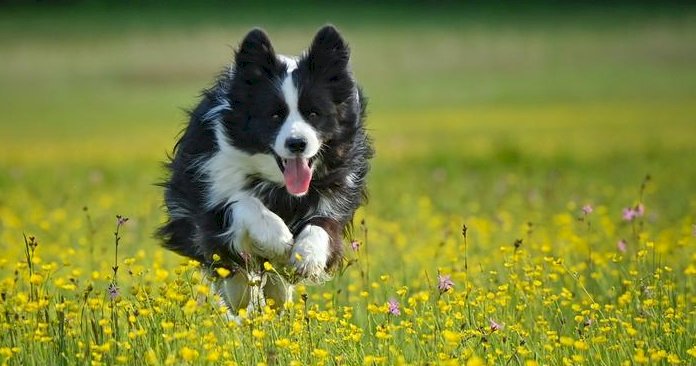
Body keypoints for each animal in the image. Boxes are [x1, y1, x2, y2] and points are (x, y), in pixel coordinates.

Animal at [156, 25, 372, 314]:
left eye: (314, 113)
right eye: (275, 115)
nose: (297, 143)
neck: (279, 185)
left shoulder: (335, 189)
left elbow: (324, 224)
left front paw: (306, 255)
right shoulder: (211, 182)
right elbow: (241, 203)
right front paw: (278, 240)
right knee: (229, 267)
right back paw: (240, 294)